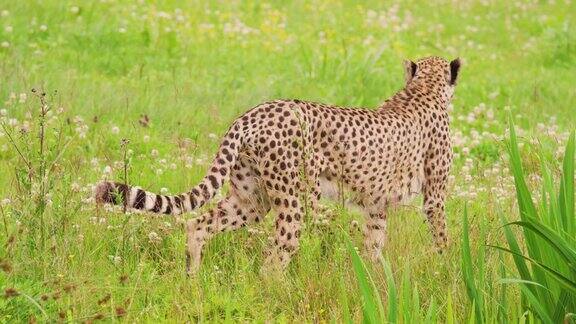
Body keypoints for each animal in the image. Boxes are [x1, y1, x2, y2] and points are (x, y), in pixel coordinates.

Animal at [97, 55, 462, 274]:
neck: (423, 89)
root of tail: (255, 112)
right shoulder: (433, 196)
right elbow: (442, 234)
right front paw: (449, 270)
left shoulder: (375, 205)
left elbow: (374, 245)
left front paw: (373, 281)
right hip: (297, 199)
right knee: (275, 259)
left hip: (252, 199)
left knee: (197, 225)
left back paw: (193, 281)